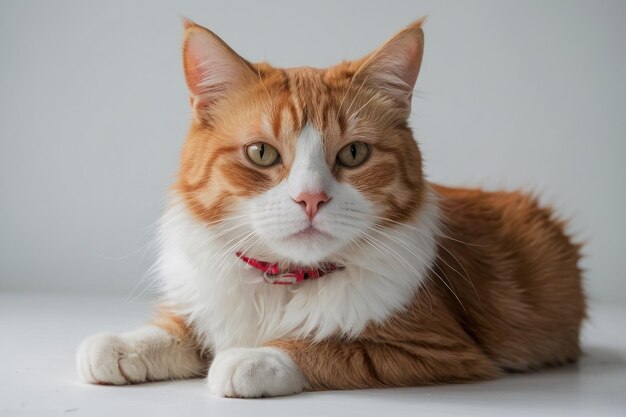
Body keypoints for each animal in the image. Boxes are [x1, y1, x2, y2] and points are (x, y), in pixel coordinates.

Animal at [75, 18, 584, 396]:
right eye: (262, 154)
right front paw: (122, 346)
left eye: (354, 154)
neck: (283, 282)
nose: (311, 198)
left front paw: (254, 357)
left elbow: (330, 347)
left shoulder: (435, 347)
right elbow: (178, 329)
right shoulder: (202, 307)